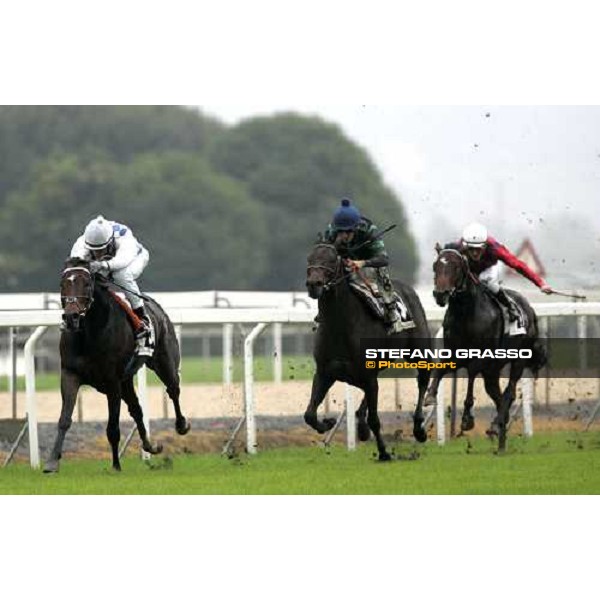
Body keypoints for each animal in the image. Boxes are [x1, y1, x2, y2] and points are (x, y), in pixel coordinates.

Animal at [44, 258, 190, 474]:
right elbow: (64, 420)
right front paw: (52, 461)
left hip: (164, 362)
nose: (71, 317)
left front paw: (115, 465)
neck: (89, 333)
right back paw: (150, 446)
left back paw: (181, 426)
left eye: (86, 284)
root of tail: (156, 307)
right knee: (136, 409)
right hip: (126, 380)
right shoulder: (70, 374)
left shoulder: (112, 381)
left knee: (173, 389)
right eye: (63, 284)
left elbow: (112, 427)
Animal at [304, 241, 432, 462]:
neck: (340, 325)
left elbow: (375, 419)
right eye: (310, 259)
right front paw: (327, 423)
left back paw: (418, 429)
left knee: (423, 380)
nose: (314, 284)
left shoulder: (366, 375)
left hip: (419, 351)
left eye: (331, 260)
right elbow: (309, 414)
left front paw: (384, 452)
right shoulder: (325, 373)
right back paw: (361, 426)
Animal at [428, 247, 548, 450]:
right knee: (499, 397)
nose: (440, 294)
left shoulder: (481, 358)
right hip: (492, 372)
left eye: (456, 267)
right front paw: (429, 396)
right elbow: (438, 371)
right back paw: (500, 438)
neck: (465, 313)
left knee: (509, 393)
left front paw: (467, 418)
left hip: (518, 360)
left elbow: (470, 374)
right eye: (435, 265)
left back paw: (495, 425)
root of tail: (530, 309)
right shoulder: (453, 355)